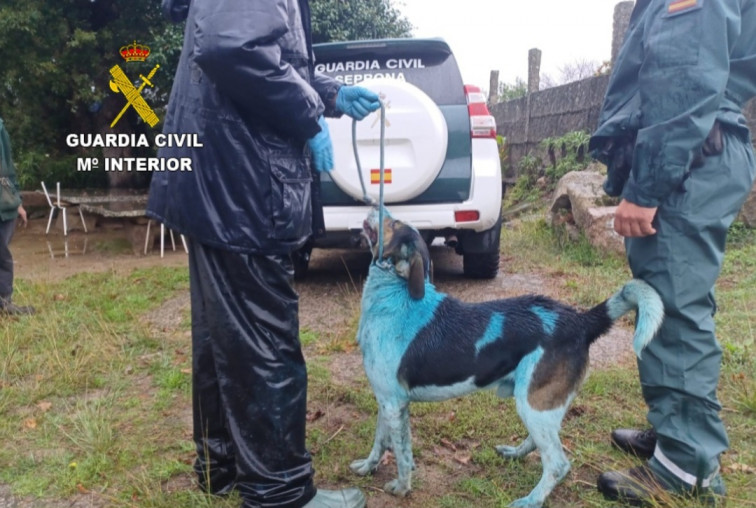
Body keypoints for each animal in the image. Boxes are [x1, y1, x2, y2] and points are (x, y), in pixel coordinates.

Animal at [348, 207, 660, 508]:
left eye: (393, 223)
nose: (373, 203)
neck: (394, 296)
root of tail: (579, 321)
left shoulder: (395, 404)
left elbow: (402, 454)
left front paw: (402, 488)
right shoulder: (387, 401)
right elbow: (380, 442)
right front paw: (368, 467)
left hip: (533, 404)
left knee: (558, 463)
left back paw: (532, 500)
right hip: (541, 404)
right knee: (543, 443)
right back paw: (517, 453)